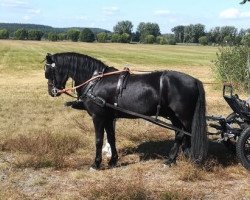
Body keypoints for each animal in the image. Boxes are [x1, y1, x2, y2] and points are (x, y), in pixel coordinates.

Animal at [44, 51, 207, 169]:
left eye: (48, 72)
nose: (52, 92)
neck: (95, 81)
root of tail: (194, 81)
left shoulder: (98, 117)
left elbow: (98, 140)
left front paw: (96, 163)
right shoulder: (108, 117)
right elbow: (111, 138)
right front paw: (112, 161)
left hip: (184, 116)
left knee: (187, 134)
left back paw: (184, 158)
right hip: (174, 116)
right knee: (180, 135)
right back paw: (174, 159)